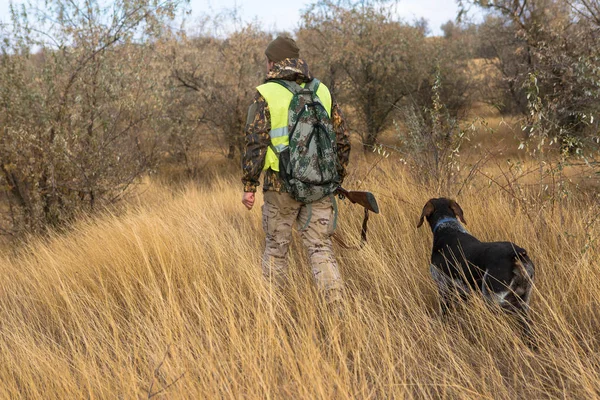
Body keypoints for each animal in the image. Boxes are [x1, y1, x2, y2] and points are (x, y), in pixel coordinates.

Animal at [418, 197, 536, 332]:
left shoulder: (443, 287)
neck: (447, 227)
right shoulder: (463, 291)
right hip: (523, 300)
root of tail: (516, 253)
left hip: (493, 300)